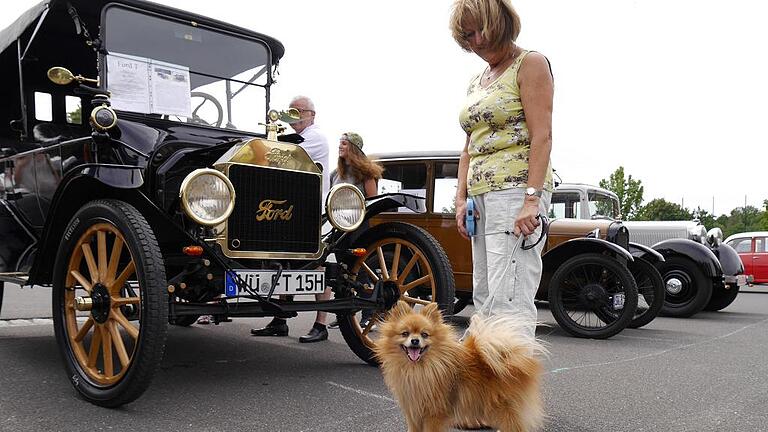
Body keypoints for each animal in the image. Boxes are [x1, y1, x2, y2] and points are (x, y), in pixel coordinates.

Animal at [374, 300, 544, 432]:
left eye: (424, 334)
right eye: (405, 333)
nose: (415, 341)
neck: (418, 369)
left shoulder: (434, 413)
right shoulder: (413, 411)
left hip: (504, 406)